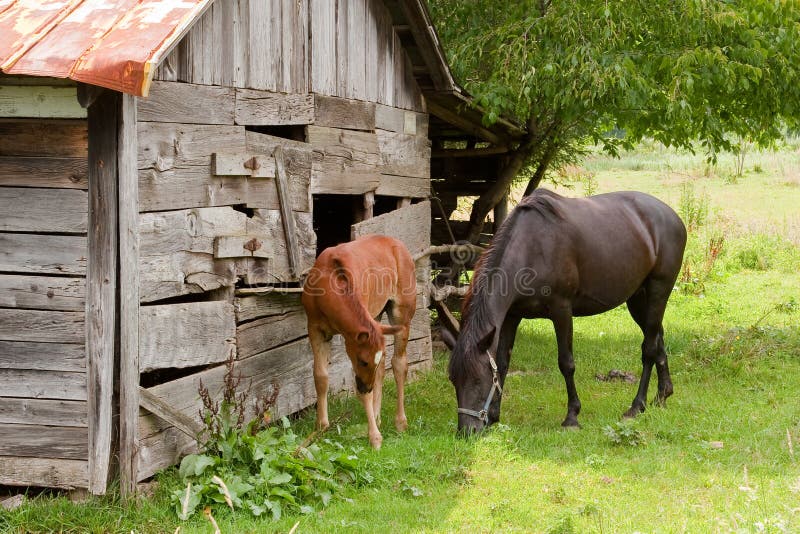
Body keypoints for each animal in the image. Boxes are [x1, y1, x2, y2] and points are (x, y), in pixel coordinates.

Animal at [302, 234, 417, 448]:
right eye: (363, 361)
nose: (366, 387)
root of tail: (397, 243)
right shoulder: (315, 329)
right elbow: (320, 376)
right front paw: (320, 427)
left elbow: (363, 391)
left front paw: (375, 438)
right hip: (377, 316)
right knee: (384, 365)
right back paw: (378, 417)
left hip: (401, 315)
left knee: (399, 363)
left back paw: (400, 422)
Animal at [449, 189, 687, 434]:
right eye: (453, 380)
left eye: (478, 380)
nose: (466, 431)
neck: (531, 247)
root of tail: (672, 216)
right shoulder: (511, 317)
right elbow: (503, 363)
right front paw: (495, 415)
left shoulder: (561, 310)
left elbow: (566, 363)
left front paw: (572, 416)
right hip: (638, 299)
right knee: (657, 338)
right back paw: (662, 395)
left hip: (659, 290)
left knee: (649, 348)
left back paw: (637, 406)